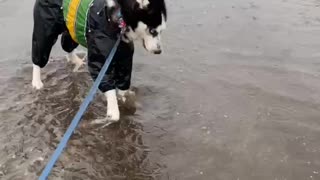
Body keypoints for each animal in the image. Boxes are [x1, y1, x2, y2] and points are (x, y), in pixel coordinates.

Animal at [31, 0, 168, 122]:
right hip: (46, 26)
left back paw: (77, 61)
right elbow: (108, 87)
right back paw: (36, 81)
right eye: (153, 31)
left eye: (161, 31)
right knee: (39, 52)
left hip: (71, 26)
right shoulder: (100, 58)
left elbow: (123, 86)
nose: (159, 51)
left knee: (67, 44)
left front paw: (124, 100)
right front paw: (113, 111)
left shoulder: (124, 59)